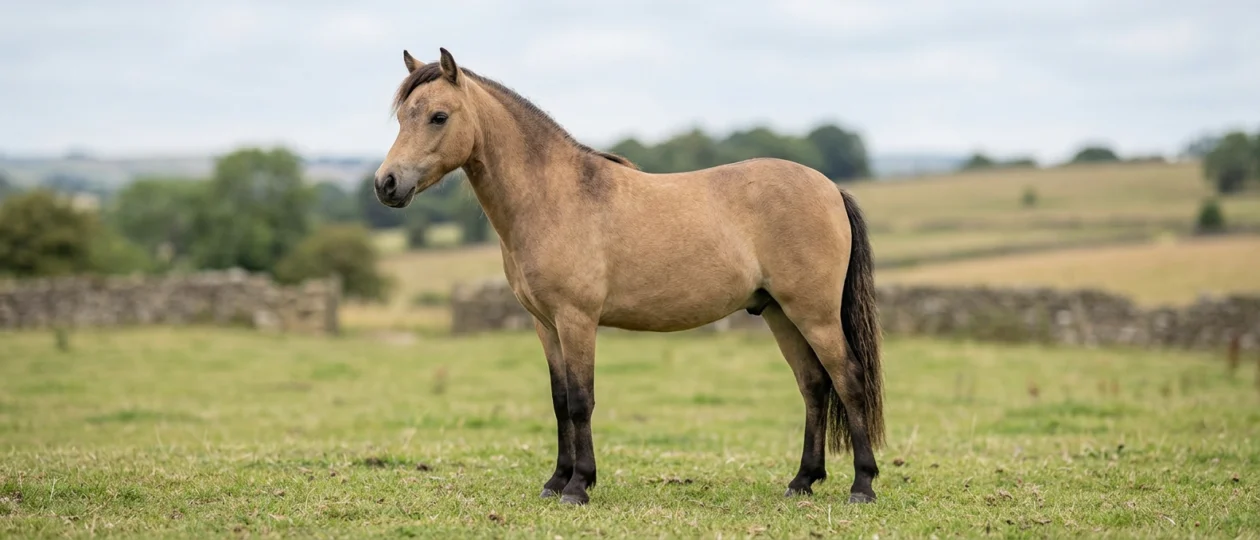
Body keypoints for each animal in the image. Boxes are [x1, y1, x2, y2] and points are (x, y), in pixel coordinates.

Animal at [373, 48, 885, 506]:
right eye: (402, 117)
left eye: (439, 116)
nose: (386, 184)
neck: (553, 196)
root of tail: (829, 188)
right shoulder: (545, 324)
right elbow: (560, 400)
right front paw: (555, 481)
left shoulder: (577, 320)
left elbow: (581, 400)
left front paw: (578, 486)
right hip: (780, 313)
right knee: (813, 385)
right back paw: (802, 481)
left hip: (814, 314)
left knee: (848, 379)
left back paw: (862, 485)